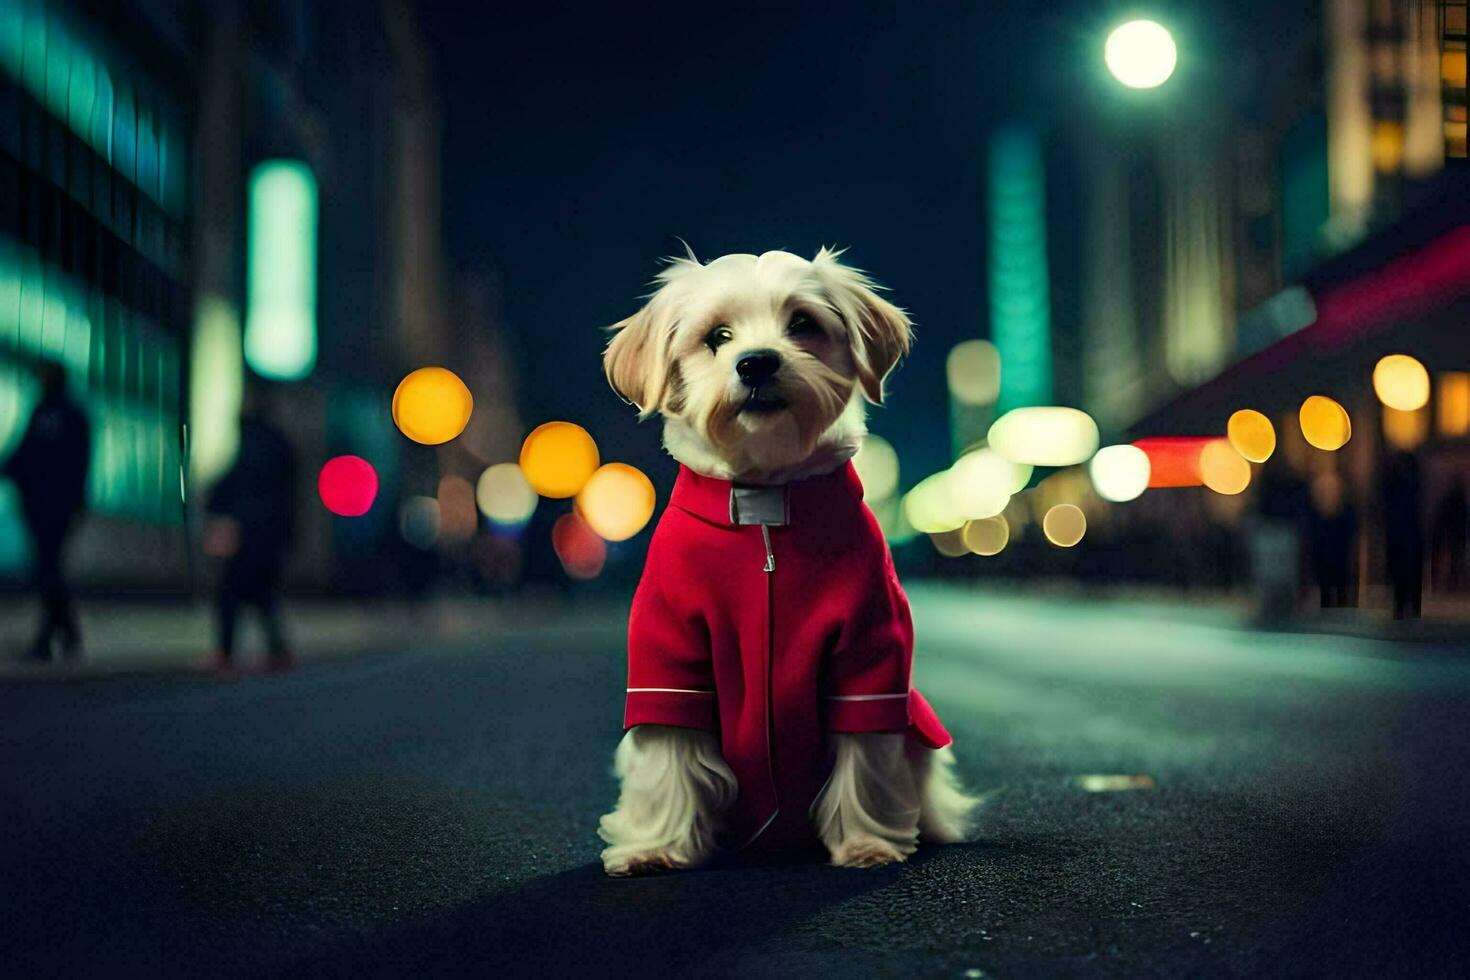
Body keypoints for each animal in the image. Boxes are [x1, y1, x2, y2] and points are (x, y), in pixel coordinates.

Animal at [596, 249, 976, 875]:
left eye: (802, 324)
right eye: (717, 337)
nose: (755, 363)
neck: (765, 509)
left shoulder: (869, 659)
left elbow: (865, 761)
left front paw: (866, 844)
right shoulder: (668, 660)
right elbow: (667, 758)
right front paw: (655, 848)